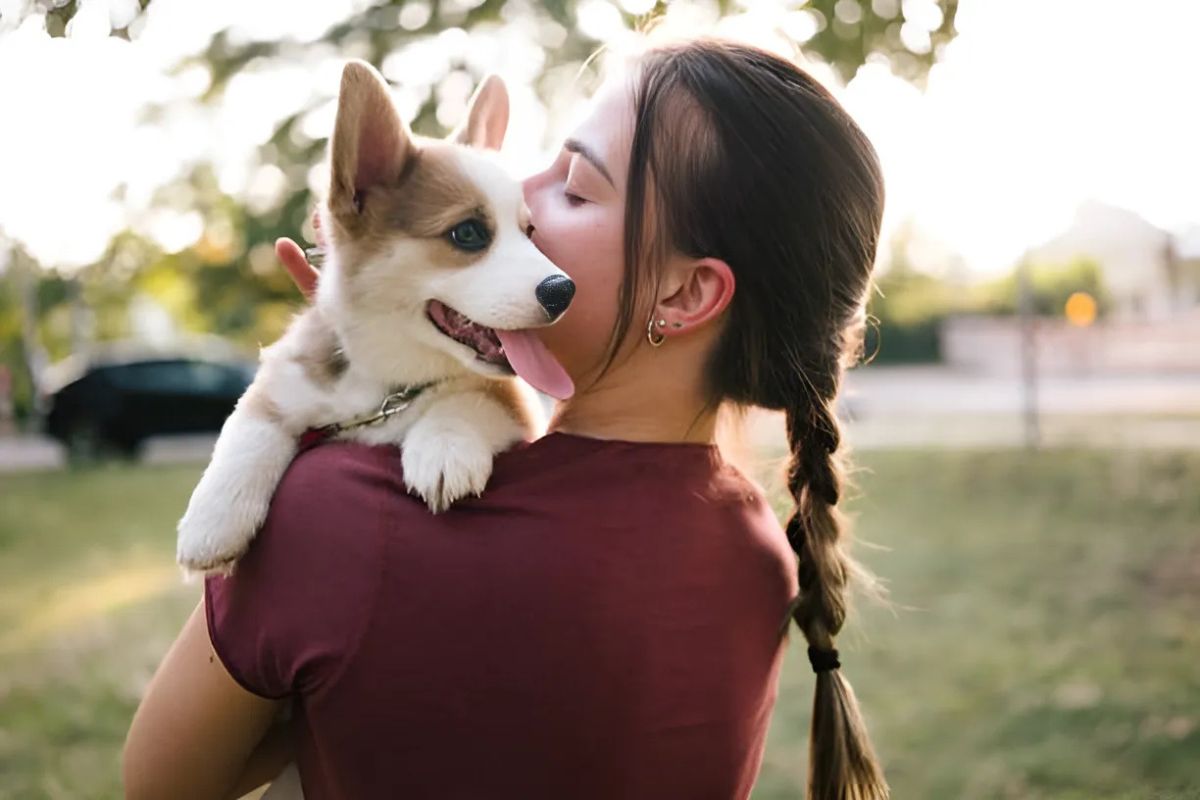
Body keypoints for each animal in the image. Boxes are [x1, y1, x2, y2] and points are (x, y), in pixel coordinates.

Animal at [174, 61, 576, 575]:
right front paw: (213, 521)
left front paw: (443, 448)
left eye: (530, 232)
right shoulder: (287, 376)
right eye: (468, 233)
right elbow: (249, 426)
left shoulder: (516, 401)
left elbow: (470, 400)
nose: (563, 291)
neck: (390, 383)